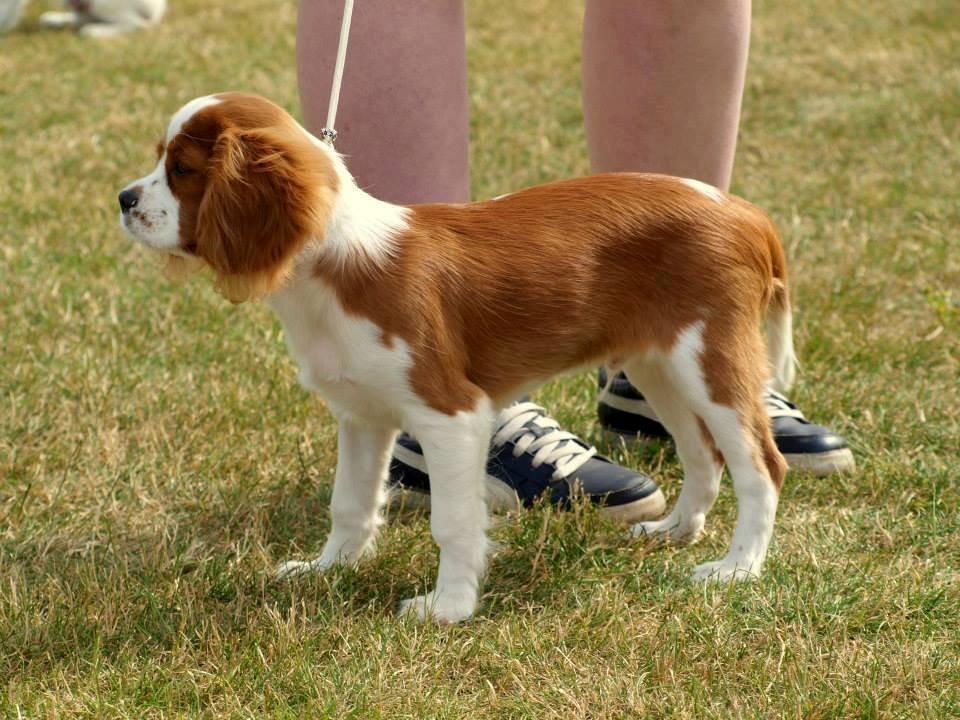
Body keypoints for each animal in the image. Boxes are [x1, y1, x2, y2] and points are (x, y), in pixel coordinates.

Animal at [118, 93, 796, 624]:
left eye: (181, 169)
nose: (123, 198)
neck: (331, 267)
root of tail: (746, 213)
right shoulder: (362, 417)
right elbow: (350, 504)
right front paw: (327, 570)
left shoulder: (450, 415)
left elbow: (452, 522)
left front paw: (447, 608)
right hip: (659, 365)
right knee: (701, 452)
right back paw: (676, 531)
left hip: (711, 360)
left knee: (761, 465)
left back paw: (736, 569)